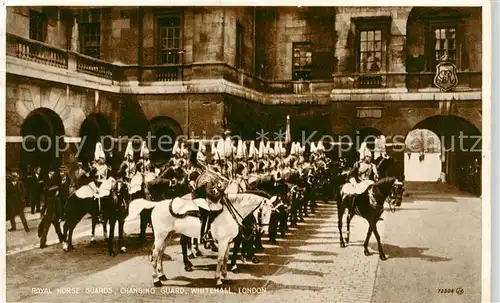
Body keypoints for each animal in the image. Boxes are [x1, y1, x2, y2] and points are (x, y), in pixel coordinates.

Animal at [124, 194, 274, 288]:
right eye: (262, 213)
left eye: (271, 213)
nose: (263, 231)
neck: (229, 213)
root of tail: (156, 204)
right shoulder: (223, 242)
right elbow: (220, 260)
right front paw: (218, 281)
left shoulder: (228, 242)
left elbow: (225, 260)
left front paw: (226, 277)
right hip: (161, 236)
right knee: (155, 255)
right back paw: (156, 280)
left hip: (167, 236)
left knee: (160, 254)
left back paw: (162, 275)